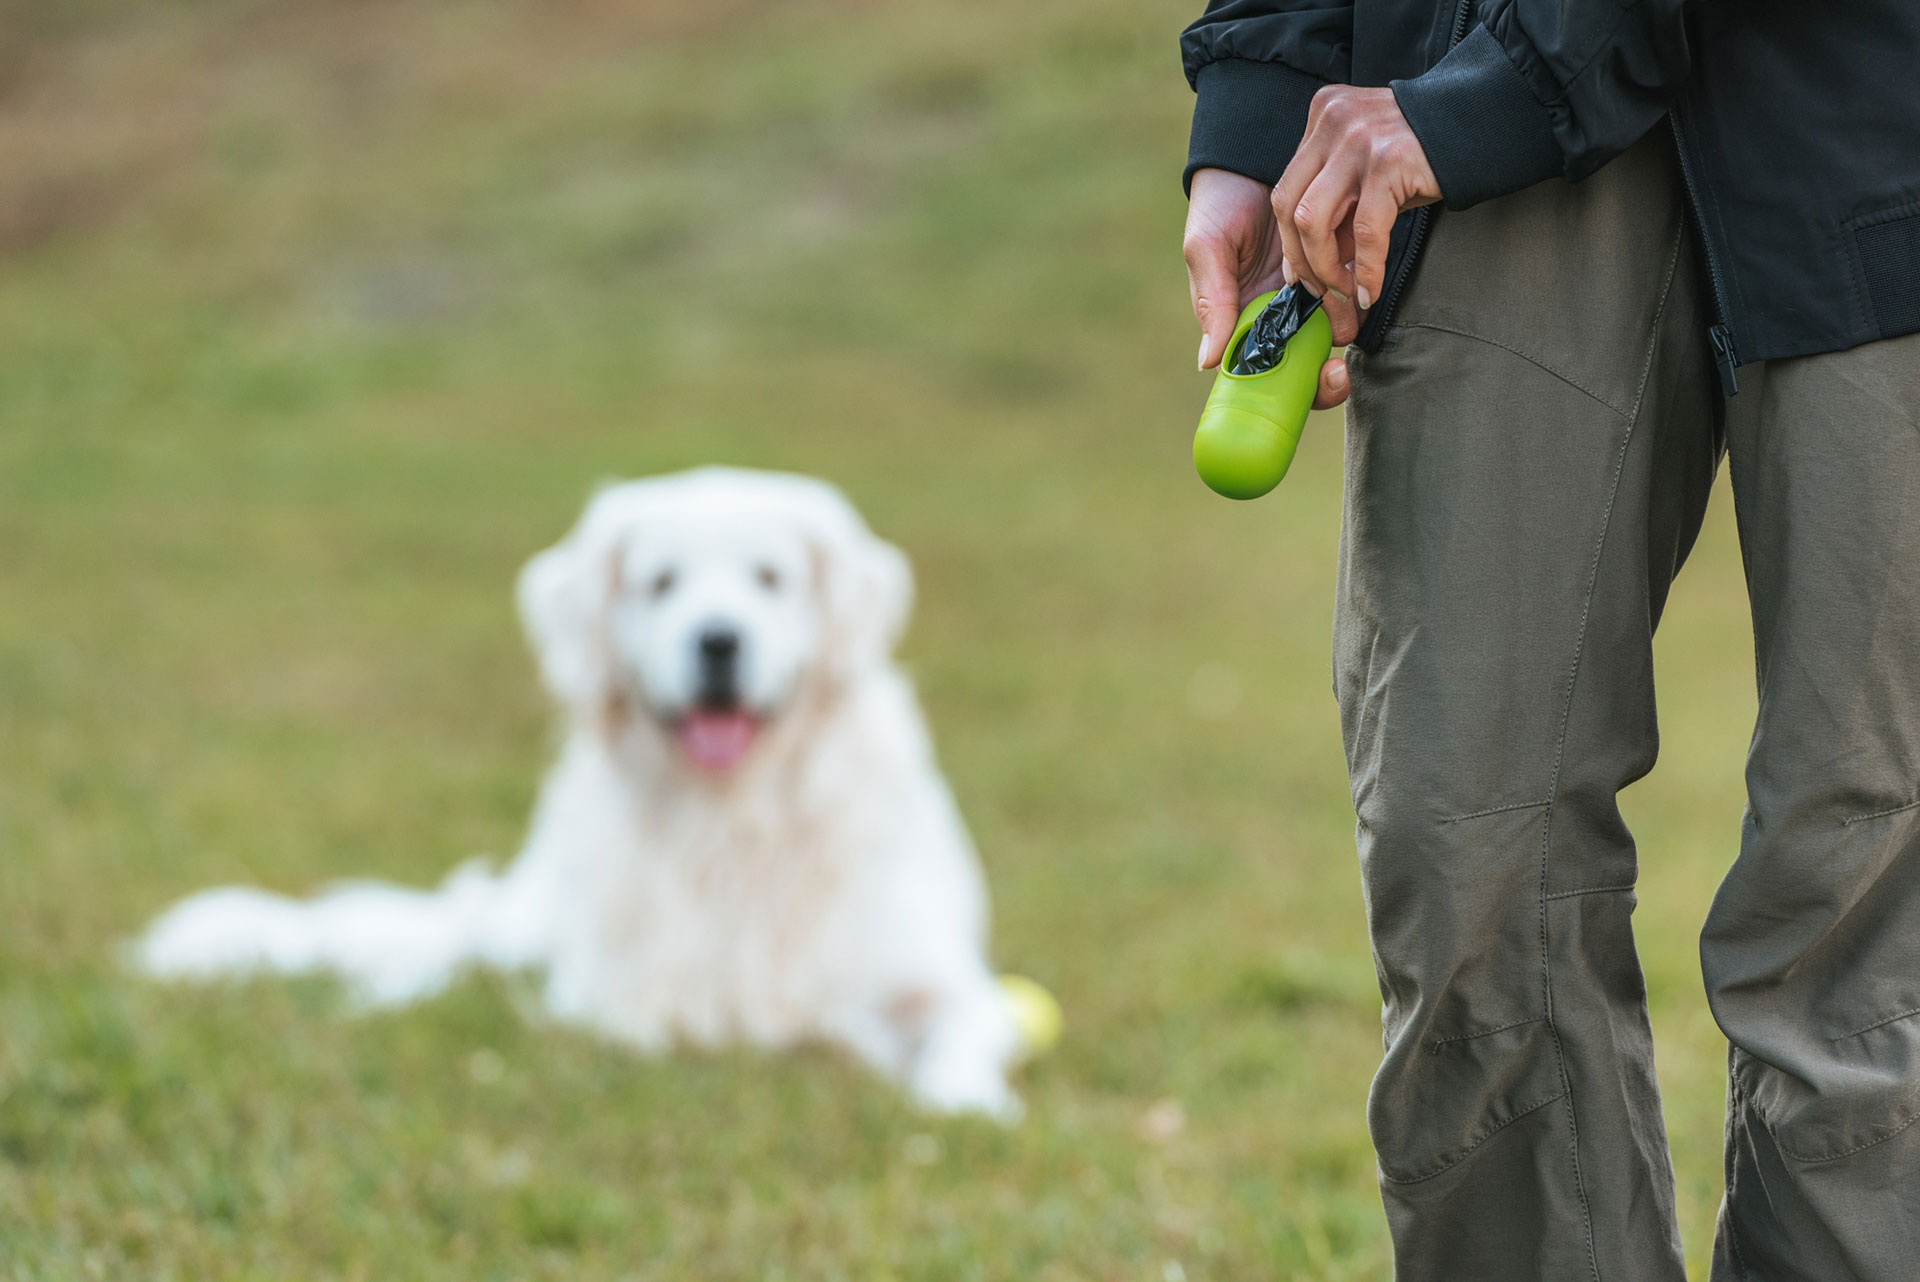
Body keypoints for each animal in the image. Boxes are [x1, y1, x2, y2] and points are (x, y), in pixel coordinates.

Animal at [137, 466, 1029, 1113]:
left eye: (771, 578)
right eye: (661, 583)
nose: (718, 640)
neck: (734, 822)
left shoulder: (943, 980)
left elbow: (960, 1033)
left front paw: (962, 1099)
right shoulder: (617, 1000)